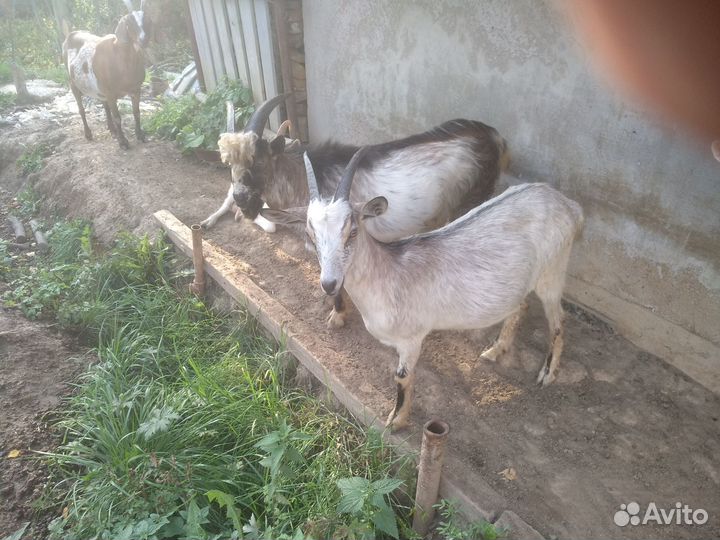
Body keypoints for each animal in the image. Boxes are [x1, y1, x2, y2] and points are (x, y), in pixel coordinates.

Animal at [63, 0, 151, 149]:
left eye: (146, 19)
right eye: (129, 22)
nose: (144, 40)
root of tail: (72, 34)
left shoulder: (136, 89)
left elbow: (136, 112)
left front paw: (140, 135)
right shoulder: (111, 93)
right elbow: (118, 117)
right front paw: (123, 142)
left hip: (99, 87)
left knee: (104, 105)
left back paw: (112, 129)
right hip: (72, 82)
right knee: (81, 109)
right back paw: (88, 134)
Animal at [202, 94, 508, 326]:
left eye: (258, 160)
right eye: (228, 163)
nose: (241, 198)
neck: (304, 177)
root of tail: (494, 137)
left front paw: (337, 315)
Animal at [262, 149, 584, 429]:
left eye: (352, 230)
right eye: (310, 233)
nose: (329, 283)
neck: (388, 275)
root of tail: (567, 204)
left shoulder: (411, 338)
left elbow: (402, 377)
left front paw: (397, 422)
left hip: (553, 270)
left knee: (558, 319)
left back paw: (547, 374)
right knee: (522, 305)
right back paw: (495, 350)